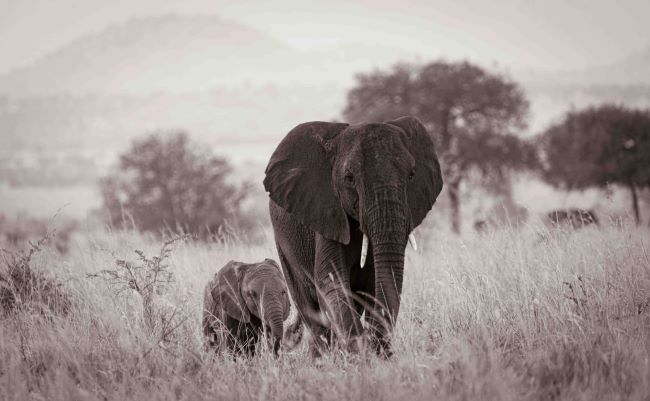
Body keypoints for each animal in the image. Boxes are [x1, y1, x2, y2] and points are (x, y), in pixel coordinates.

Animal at [262, 115, 440, 356]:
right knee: (309, 309)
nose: (382, 350)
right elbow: (331, 281)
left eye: (412, 175)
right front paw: (360, 351)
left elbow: (378, 282)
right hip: (284, 246)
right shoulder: (326, 210)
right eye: (349, 178)